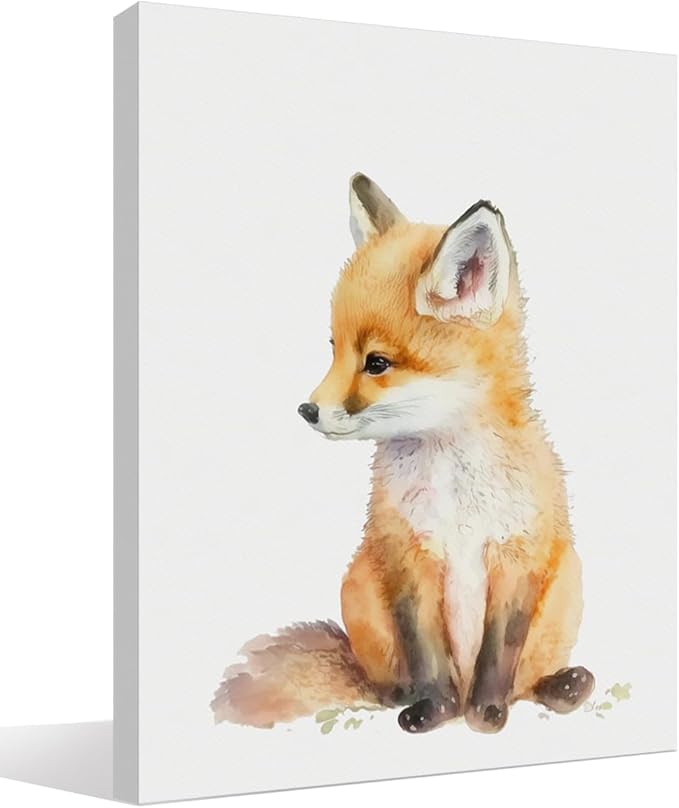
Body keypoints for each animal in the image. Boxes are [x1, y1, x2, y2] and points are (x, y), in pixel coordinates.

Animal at [212, 173, 594, 734]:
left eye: (376, 363)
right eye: (334, 349)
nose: (308, 410)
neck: (457, 495)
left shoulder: (517, 556)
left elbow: (500, 654)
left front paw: (486, 713)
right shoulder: (407, 557)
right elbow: (425, 651)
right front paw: (435, 710)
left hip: (567, 584)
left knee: (528, 679)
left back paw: (563, 686)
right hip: (359, 587)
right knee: (380, 680)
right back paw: (403, 695)